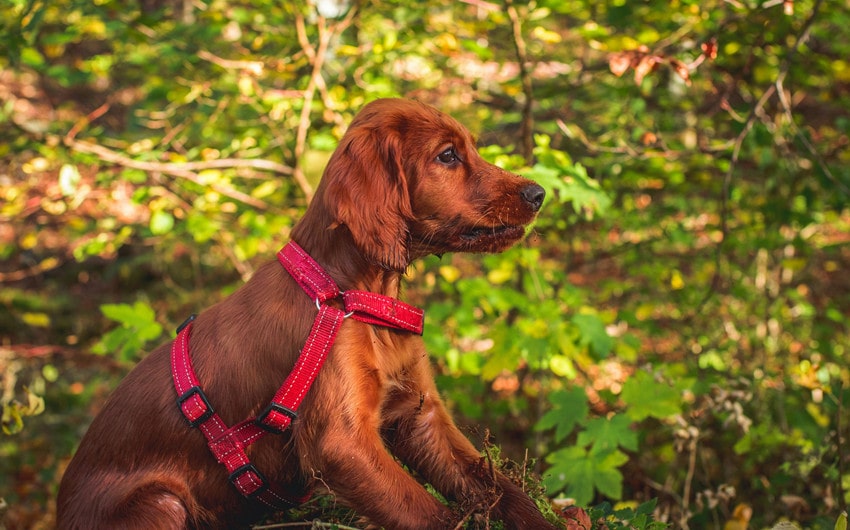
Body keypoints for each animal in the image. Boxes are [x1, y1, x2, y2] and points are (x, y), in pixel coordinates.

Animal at [56, 97, 552, 524]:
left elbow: (504, 490)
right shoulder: (342, 442)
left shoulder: (421, 416)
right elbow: (432, 517)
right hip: (160, 502)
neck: (345, 293)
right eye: (448, 156)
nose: (538, 193)